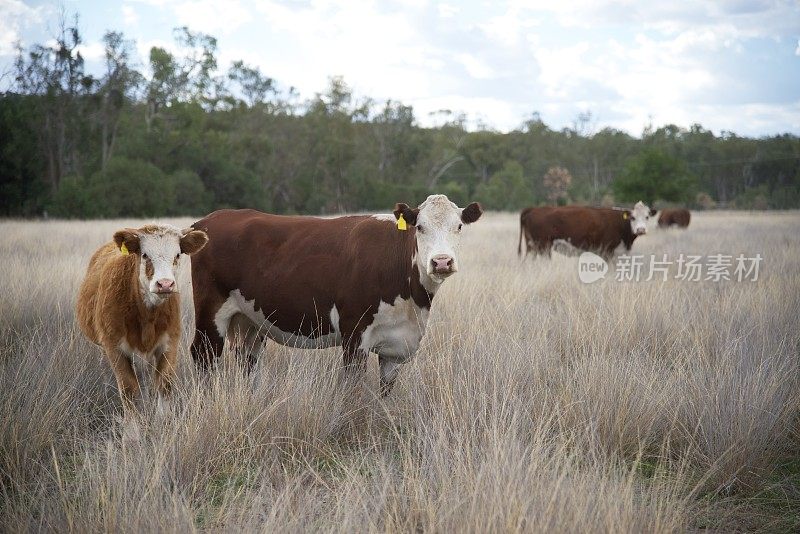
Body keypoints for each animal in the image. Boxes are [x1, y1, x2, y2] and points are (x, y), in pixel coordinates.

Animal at [74, 224, 209, 438]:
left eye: (177, 254)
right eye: (145, 255)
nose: (165, 284)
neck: (146, 316)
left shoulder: (170, 343)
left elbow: (164, 384)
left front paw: (163, 426)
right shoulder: (114, 347)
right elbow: (129, 388)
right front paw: (132, 435)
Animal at [191, 195, 484, 396]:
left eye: (459, 226)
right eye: (420, 227)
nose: (442, 262)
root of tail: (209, 220)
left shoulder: (395, 347)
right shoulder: (354, 335)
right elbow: (352, 393)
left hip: (249, 321)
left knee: (248, 361)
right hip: (210, 314)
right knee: (203, 357)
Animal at [520, 201, 656, 260]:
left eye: (647, 217)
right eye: (633, 217)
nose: (641, 230)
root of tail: (534, 209)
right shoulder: (607, 251)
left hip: (532, 246)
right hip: (543, 246)